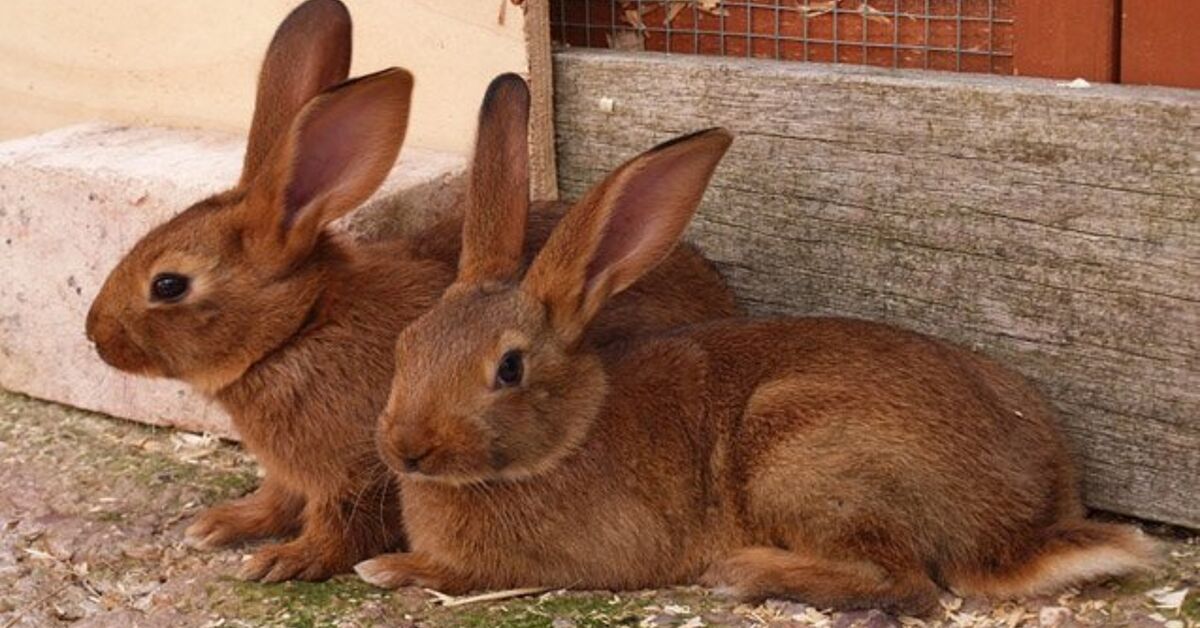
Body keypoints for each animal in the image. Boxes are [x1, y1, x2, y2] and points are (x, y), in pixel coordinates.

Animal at [84, 0, 738, 583]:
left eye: (169, 284)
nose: (95, 337)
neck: (299, 329)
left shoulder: (357, 472)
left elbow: (338, 526)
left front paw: (285, 560)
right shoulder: (296, 472)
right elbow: (276, 498)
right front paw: (223, 523)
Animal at [358, 127, 1158, 615]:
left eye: (509, 368)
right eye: (408, 344)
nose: (406, 449)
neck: (566, 436)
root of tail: (1014, 531)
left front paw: (390, 569)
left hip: (802, 456)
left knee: (904, 582)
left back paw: (744, 571)